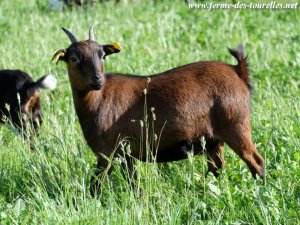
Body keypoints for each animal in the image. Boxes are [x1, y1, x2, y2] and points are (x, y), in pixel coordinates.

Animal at [52, 25, 264, 195]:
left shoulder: (109, 152)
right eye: (73, 58)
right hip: (213, 140)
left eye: (102, 55)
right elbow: (133, 184)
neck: (100, 99)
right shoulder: (126, 154)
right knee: (217, 169)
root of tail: (237, 71)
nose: (97, 80)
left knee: (256, 161)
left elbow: (96, 185)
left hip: (235, 126)